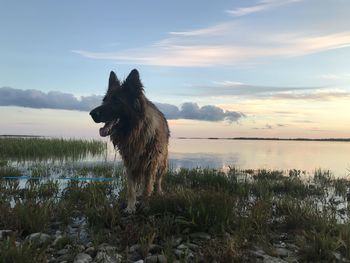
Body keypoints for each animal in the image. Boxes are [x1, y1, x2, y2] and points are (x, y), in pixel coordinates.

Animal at [90, 69, 170, 212]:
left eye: (116, 101)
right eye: (104, 100)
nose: (91, 114)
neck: (135, 132)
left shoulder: (151, 163)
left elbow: (148, 186)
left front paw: (145, 206)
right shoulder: (130, 163)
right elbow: (131, 189)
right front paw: (131, 207)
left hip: (162, 162)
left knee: (158, 179)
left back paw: (159, 191)